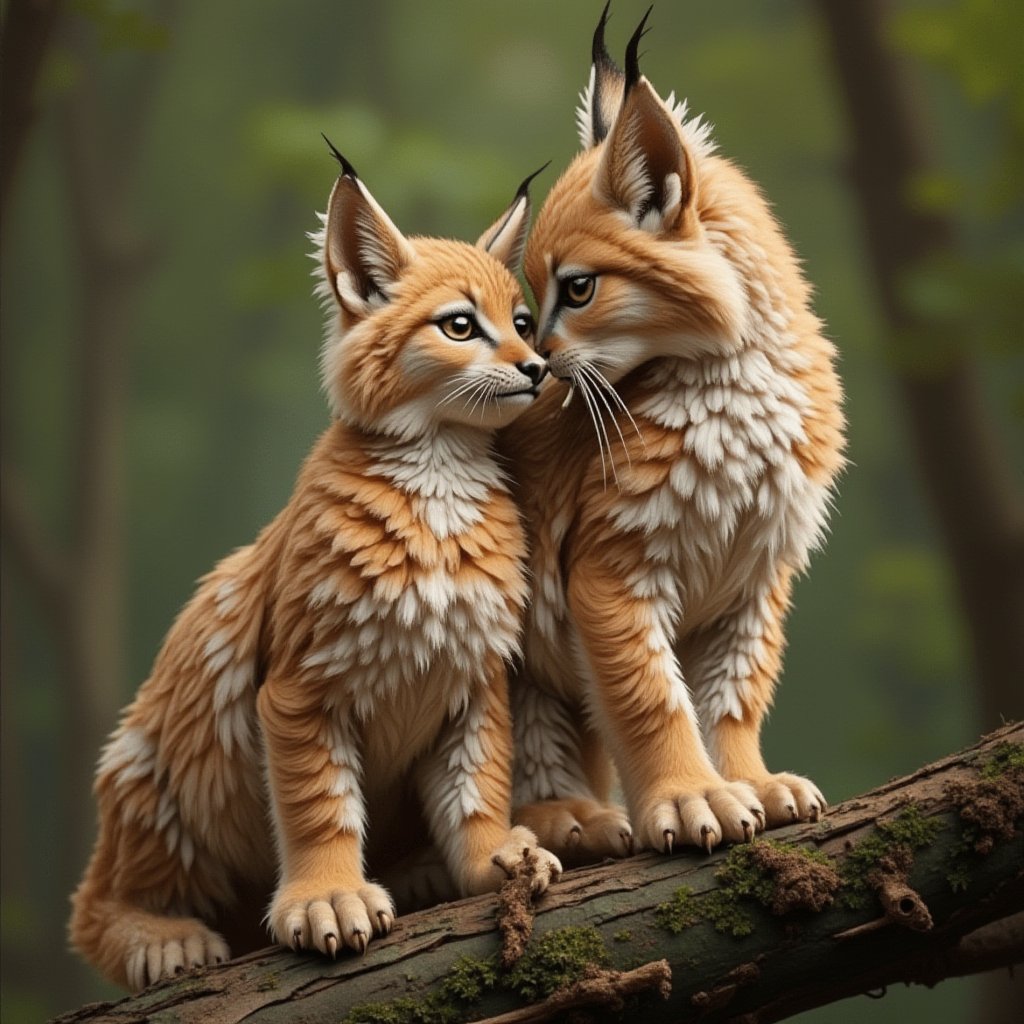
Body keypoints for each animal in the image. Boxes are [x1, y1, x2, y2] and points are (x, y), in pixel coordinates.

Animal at [70, 148, 561, 987]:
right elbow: (319, 802)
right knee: (90, 904)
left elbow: (478, 781)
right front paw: (327, 897)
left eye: (523, 322)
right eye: (461, 326)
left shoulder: (474, 675)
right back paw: (160, 936)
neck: (441, 469)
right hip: (157, 754)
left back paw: (417, 870)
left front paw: (491, 855)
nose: (536, 367)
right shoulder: (300, 688)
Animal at [505, 9, 847, 864]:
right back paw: (569, 816)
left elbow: (732, 696)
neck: (732, 376)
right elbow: (651, 696)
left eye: (578, 289)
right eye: (529, 299)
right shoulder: (612, 568)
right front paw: (694, 797)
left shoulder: (757, 573)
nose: (539, 364)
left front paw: (750, 782)